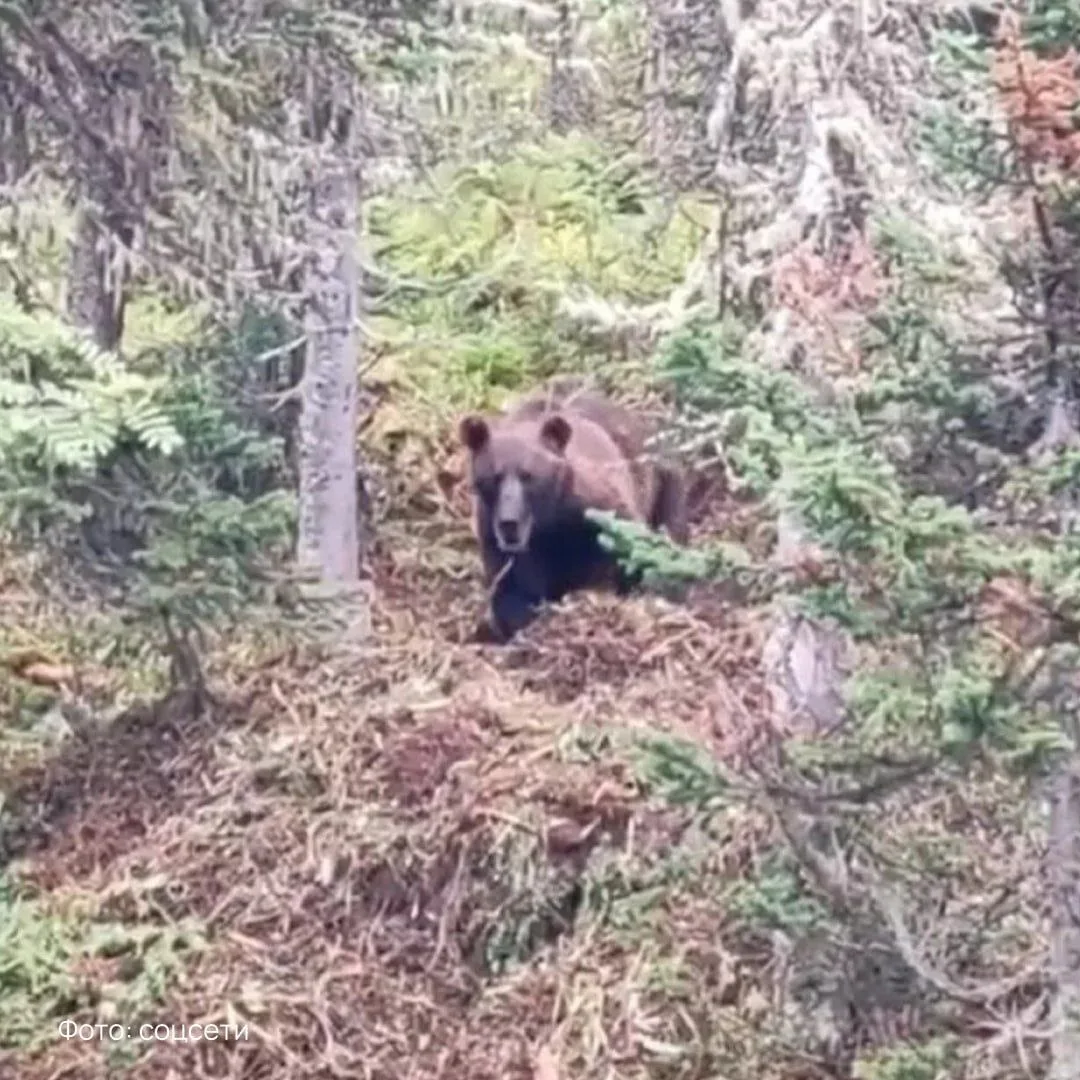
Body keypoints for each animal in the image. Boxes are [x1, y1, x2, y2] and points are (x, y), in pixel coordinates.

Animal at [456, 380, 689, 643]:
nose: (509, 522)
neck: (549, 522)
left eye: (528, 475)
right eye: (494, 478)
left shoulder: (597, 514)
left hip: (662, 479)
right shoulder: (498, 537)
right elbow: (512, 588)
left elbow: (615, 556)